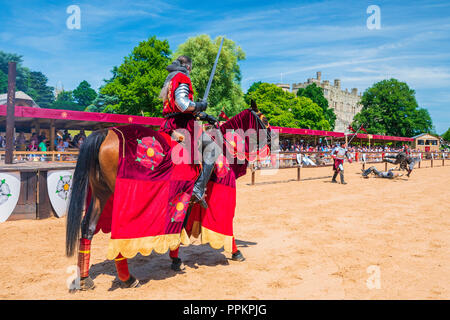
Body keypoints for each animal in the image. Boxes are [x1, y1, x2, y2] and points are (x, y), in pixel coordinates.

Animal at [65, 102, 272, 290]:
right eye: (264, 120)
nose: (272, 142)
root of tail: (105, 134)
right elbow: (226, 224)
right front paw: (236, 252)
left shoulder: (185, 198)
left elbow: (180, 227)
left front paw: (176, 259)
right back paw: (128, 279)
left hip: (101, 194)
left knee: (88, 228)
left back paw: (85, 280)